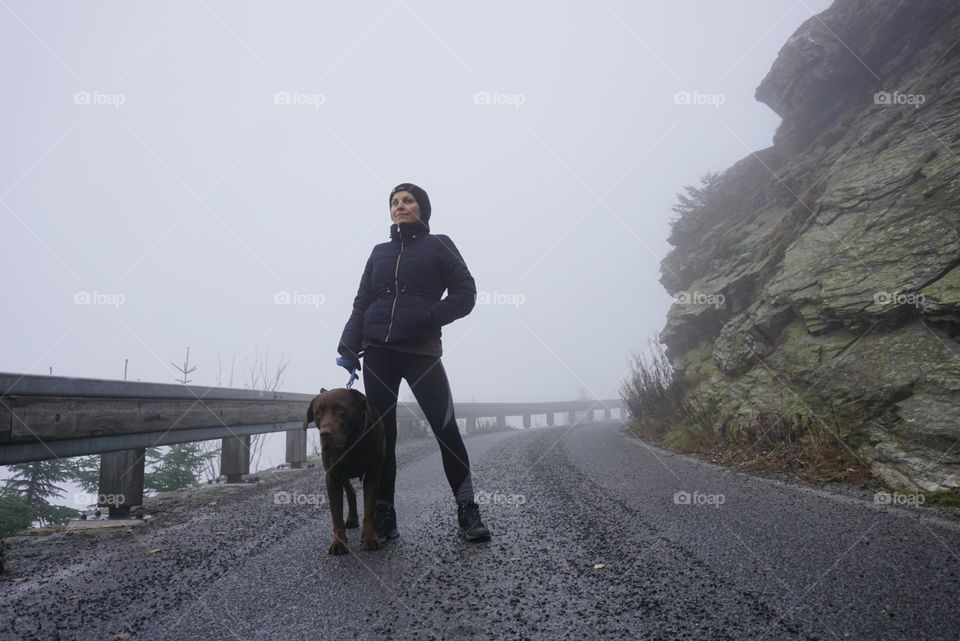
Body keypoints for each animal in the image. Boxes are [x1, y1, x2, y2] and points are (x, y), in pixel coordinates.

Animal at [304, 384, 386, 556]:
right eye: (318, 412)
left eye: (340, 408)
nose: (324, 434)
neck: (350, 443)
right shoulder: (332, 476)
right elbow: (336, 515)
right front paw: (338, 542)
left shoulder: (373, 474)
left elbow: (368, 510)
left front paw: (370, 538)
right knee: (351, 491)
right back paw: (352, 518)